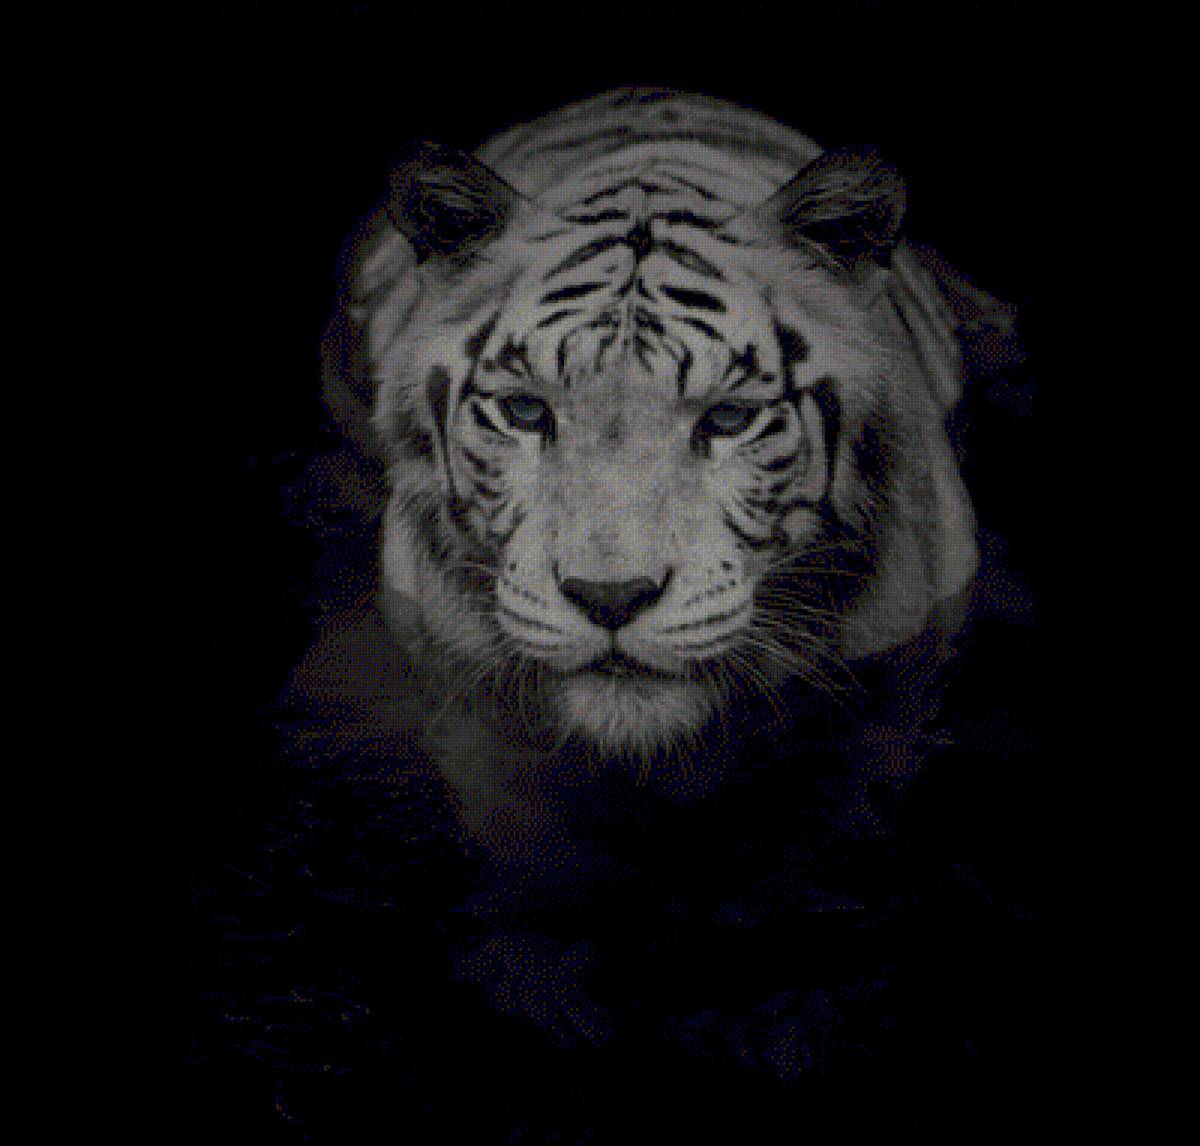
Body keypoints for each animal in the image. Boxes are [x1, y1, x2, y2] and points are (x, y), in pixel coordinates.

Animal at [302, 86, 1018, 1051]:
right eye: (526, 412)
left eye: (728, 419)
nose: (611, 598)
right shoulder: (476, 703)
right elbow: (528, 849)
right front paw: (542, 983)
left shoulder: (886, 696)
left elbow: (823, 844)